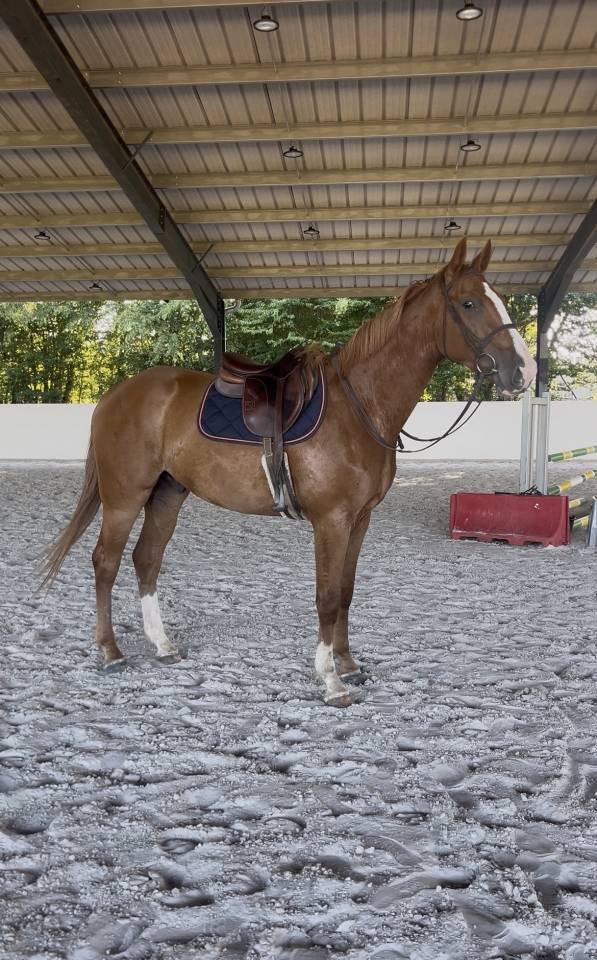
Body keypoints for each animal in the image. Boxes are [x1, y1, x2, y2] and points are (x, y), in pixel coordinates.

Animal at [43, 238, 536, 707]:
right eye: (469, 303)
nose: (523, 371)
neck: (359, 407)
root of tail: (114, 396)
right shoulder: (331, 520)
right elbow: (327, 597)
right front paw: (331, 680)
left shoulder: (360, 519)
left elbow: (346, 592)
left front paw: (348, 664)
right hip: (125, 497)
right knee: (105, 562)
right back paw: (110, 653)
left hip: (167, 494)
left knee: (146, 560)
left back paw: (163, 645)